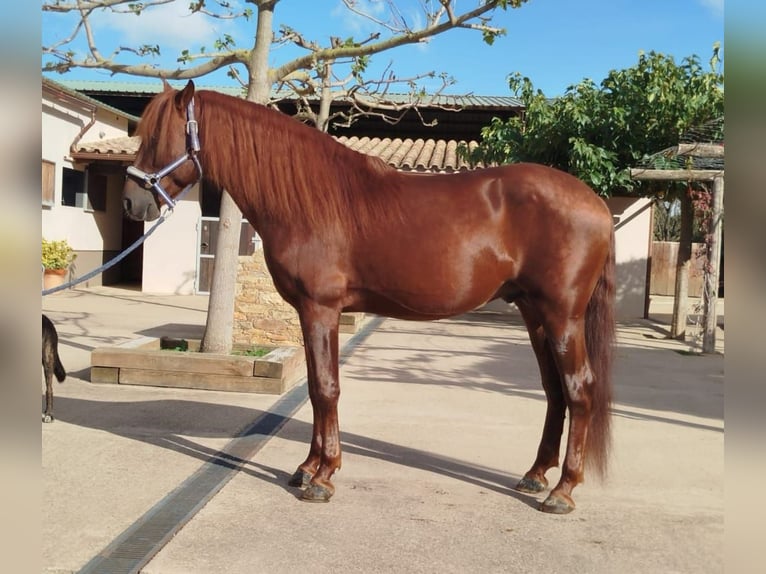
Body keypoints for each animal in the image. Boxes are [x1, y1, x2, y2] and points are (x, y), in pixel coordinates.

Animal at [126, 80, 616, 512]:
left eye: (158, 137)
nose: (134, 203)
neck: (309, 199)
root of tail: (595, 203)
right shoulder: (311, 313)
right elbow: (316, 386)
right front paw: (308, 467)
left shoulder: (321, 309)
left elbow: (326, 388)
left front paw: (323, 477)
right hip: (535, 314)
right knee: (554, 391)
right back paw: (536, 476)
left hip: (562, 316)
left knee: (579, 389)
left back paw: (563, 491)